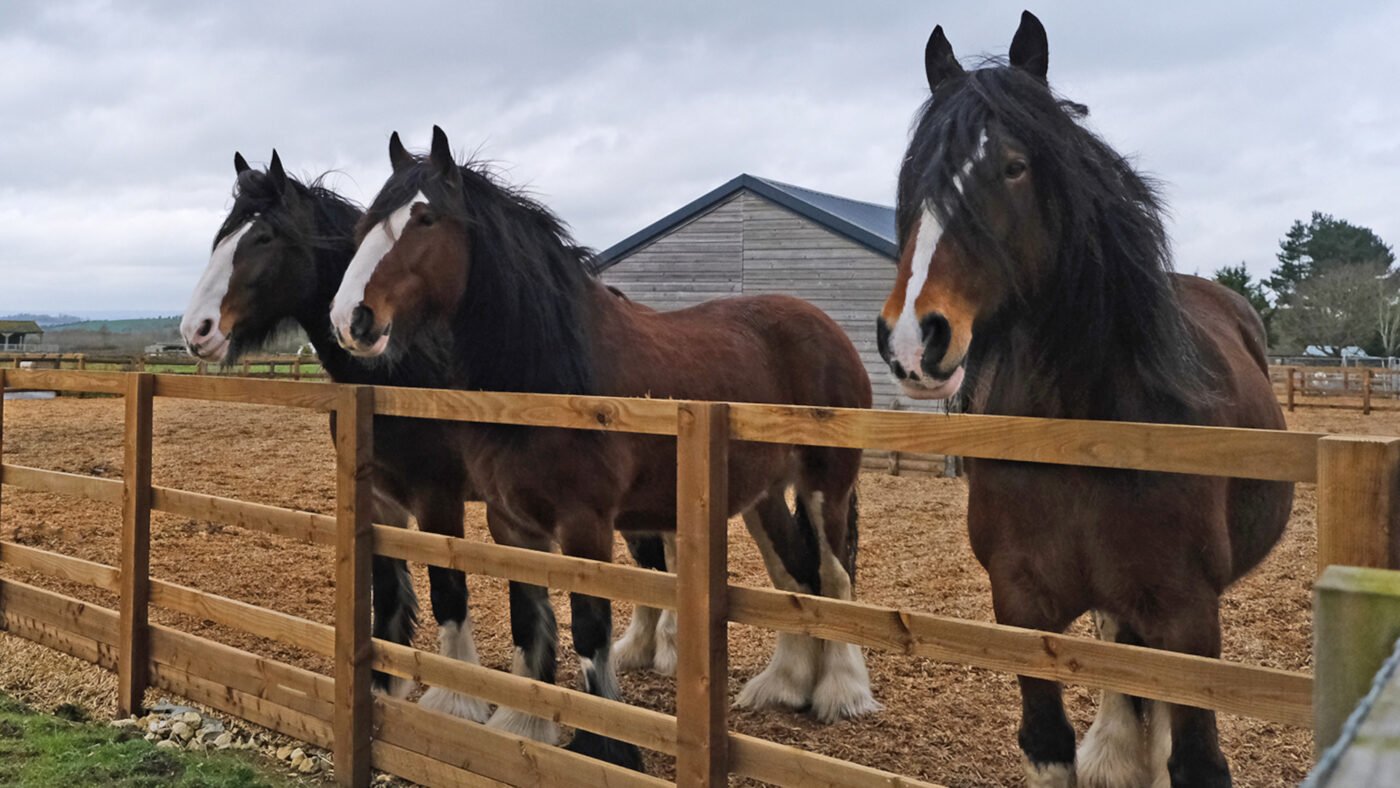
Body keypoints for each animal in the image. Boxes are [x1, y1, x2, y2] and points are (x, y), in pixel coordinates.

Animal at [178, 152, 675, 724]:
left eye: (263, 237)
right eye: (223, 235)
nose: (196, 330)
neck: (406, 373)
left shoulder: (439, 498)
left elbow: (447, 592)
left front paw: (457, 699)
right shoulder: (380, 497)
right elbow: (388, 589)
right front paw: (382, 685)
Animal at [327, 127, 879, 769]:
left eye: (425, 218)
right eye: (368, 222)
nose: (350, 319)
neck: (553, 374)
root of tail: (827, 326)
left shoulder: (584, 524)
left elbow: (589, 630)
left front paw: (607, 747)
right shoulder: (511, 523)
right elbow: (528, 618)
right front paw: (526, 725)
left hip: (825, 488)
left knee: (835, 581)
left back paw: (840, 693)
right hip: (760, 497)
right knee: (795, 577)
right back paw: (785, 686)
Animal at [876, 13, 1292, 787]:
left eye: (1014, 166)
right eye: (913, 176)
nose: (916, 337)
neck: (1079, 436)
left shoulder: (1186, 621)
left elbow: (1195, 759)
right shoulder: (1020, 605)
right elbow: (1049, 740)